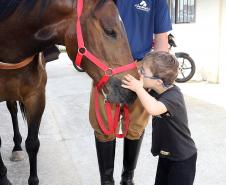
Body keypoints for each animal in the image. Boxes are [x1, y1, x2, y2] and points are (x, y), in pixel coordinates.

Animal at [0, 0, 138, 185]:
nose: (133, 89)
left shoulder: (36, 97)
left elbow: (33, 144)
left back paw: (17, 146)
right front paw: (3, 177)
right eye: (109, 31)